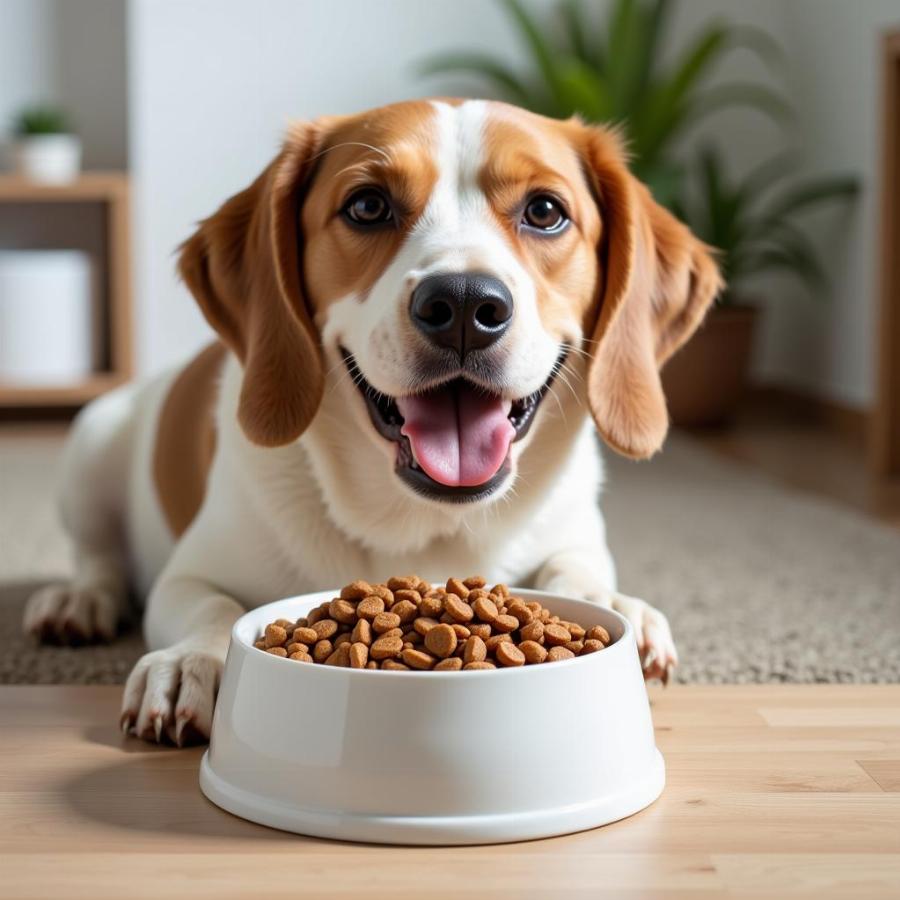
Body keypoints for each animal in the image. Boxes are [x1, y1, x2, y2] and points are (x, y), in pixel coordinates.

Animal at [21, 98, 720, 744]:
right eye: (367, 206)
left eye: (545, 211)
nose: (464, 305)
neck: (423, 525)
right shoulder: (189, 572)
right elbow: (212, 607)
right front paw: (188, 660)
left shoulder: (575, 536)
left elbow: (576, 572)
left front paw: (614, 606)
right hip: (92, 443)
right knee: (98, 556)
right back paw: (79, 600)